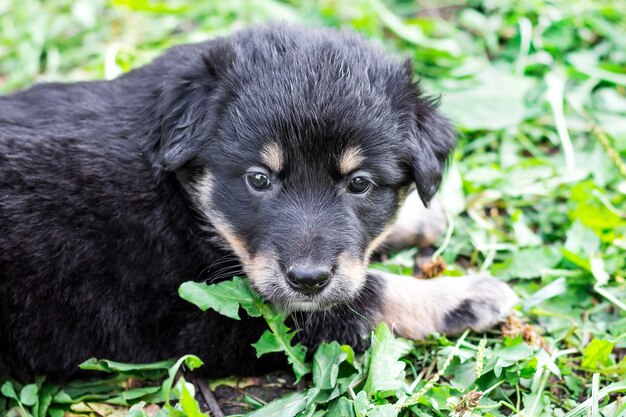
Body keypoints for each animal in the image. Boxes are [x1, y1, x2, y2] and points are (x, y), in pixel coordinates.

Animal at [0, 23, 516, 380]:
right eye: (258, 179)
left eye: (360, 184)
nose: (308, 280)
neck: (180, 200)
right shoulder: (207, 320)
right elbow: (370, 294)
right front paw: (466, 295)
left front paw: (421, 219)